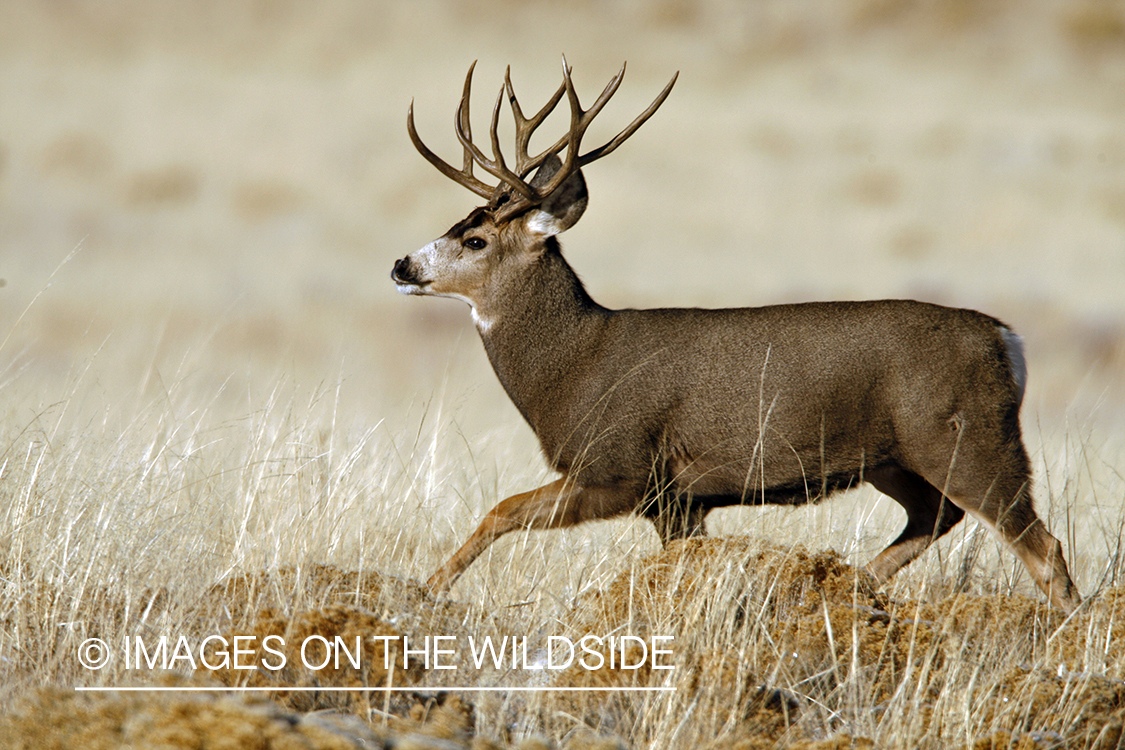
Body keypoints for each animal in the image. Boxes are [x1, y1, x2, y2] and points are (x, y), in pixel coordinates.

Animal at [391, 59, 1082, 613]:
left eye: (474, 239)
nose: (402, 265)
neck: (576, 361)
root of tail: (1008, 341)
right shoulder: (678, 499)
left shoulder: (620, 466)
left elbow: (500, 508)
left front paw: (425, 589)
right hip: (895, 456)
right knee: (935, 516)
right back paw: (845, 589)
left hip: (968, 438)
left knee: (1041, 545)